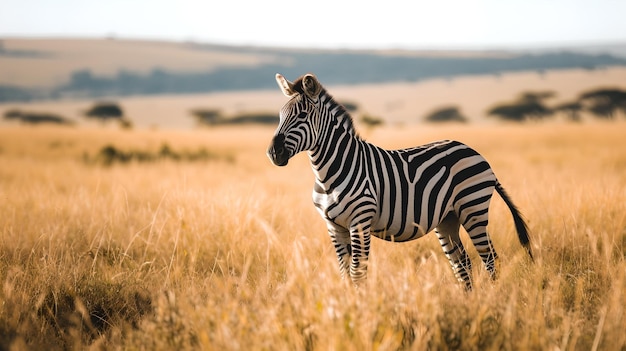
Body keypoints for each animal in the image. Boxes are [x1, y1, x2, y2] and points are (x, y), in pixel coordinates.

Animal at [264, 73, 532, 290]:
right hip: (448, 219)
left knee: (489, 258)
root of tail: (475, 152)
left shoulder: (359, 222)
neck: (330, 172)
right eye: (279, 116)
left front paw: (359, 312)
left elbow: (357, 273)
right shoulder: (333, 226)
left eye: (302, 115)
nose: (274, 153)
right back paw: (469, 303)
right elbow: (344, 274)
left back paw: (492, 301)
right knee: (462, 263)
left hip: (473, 208)